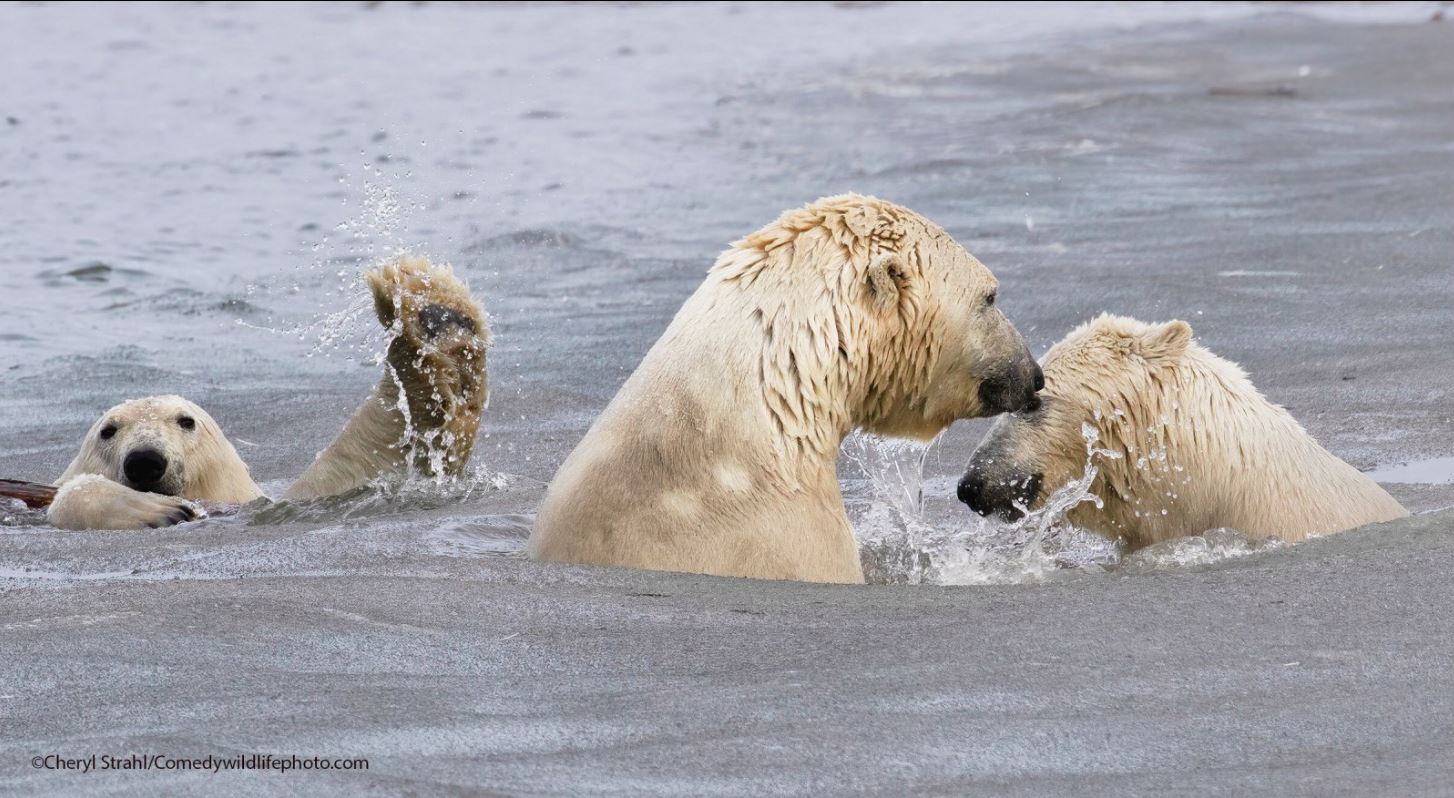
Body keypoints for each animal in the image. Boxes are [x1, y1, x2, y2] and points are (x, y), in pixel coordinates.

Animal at [45, 257, 491, 529]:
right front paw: (155, 510)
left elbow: (372, 461)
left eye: (186, 421)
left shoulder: (272, 502)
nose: (145, 461)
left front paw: (433, 315)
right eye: (108, 430)